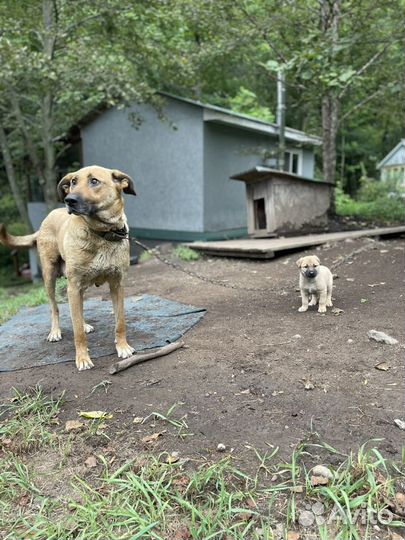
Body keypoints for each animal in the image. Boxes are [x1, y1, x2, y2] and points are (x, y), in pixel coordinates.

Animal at [0, 165, 137, 372]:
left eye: (94, 181)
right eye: (73, 182)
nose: (69, 200)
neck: (101, 233)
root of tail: (48, 217)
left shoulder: (117, 284)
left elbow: (120, 321)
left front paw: (122, 347)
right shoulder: (74, 286)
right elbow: (77, 331)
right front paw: (82, 358)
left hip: (79, 285)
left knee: (78, 310)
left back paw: (85, 323)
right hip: (50, 277)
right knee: (55, 308)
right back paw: (55, 331)